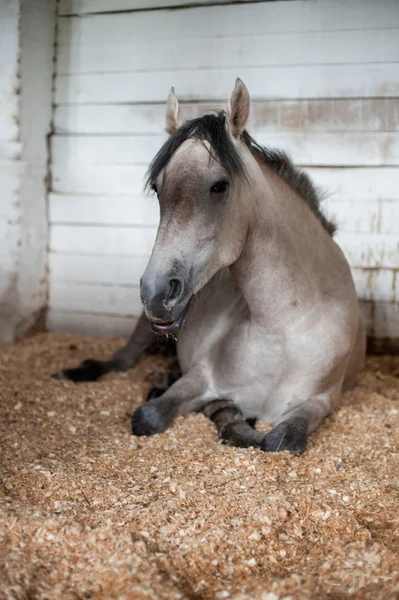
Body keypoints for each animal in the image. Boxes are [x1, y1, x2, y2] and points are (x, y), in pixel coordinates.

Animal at [54, 81, 368, 454]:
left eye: (220, 185)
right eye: (157, 188)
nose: (157, 292)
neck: (283, 328)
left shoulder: (320, 402)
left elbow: (281, 441)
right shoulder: (201, 377)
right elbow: (148, 415)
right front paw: (222, 413)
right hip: (146, 329)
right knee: (121, 361)